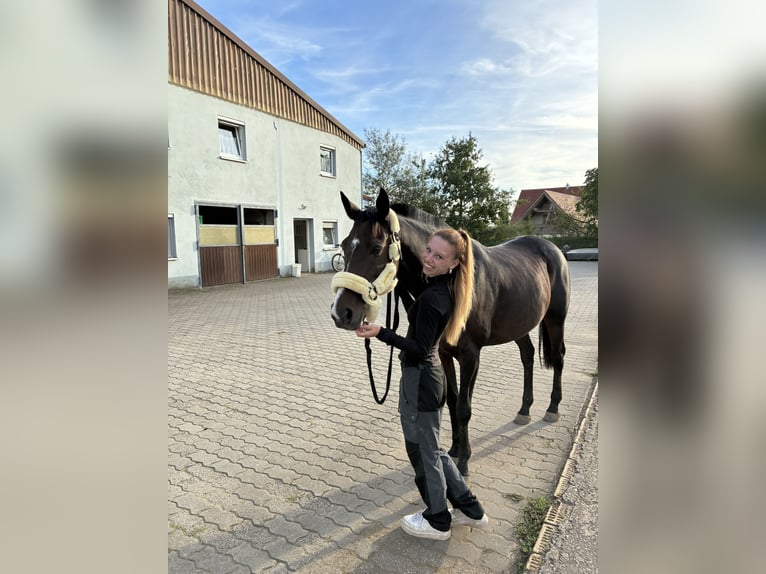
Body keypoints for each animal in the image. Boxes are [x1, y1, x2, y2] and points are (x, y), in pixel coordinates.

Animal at [330, 189, 570, 476]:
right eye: (344, 245)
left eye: (377, 247)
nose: (341, 313)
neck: (451, 284)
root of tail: (552, 249)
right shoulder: (443, 353)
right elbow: (454, 401)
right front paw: (455, 449)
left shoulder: (470, 355)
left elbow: (465, 406)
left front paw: (464, 460)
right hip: (519, 324)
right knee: (528, 355)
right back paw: (524, 409)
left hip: (555, 321)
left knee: (558, 358)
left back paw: (553, 408)